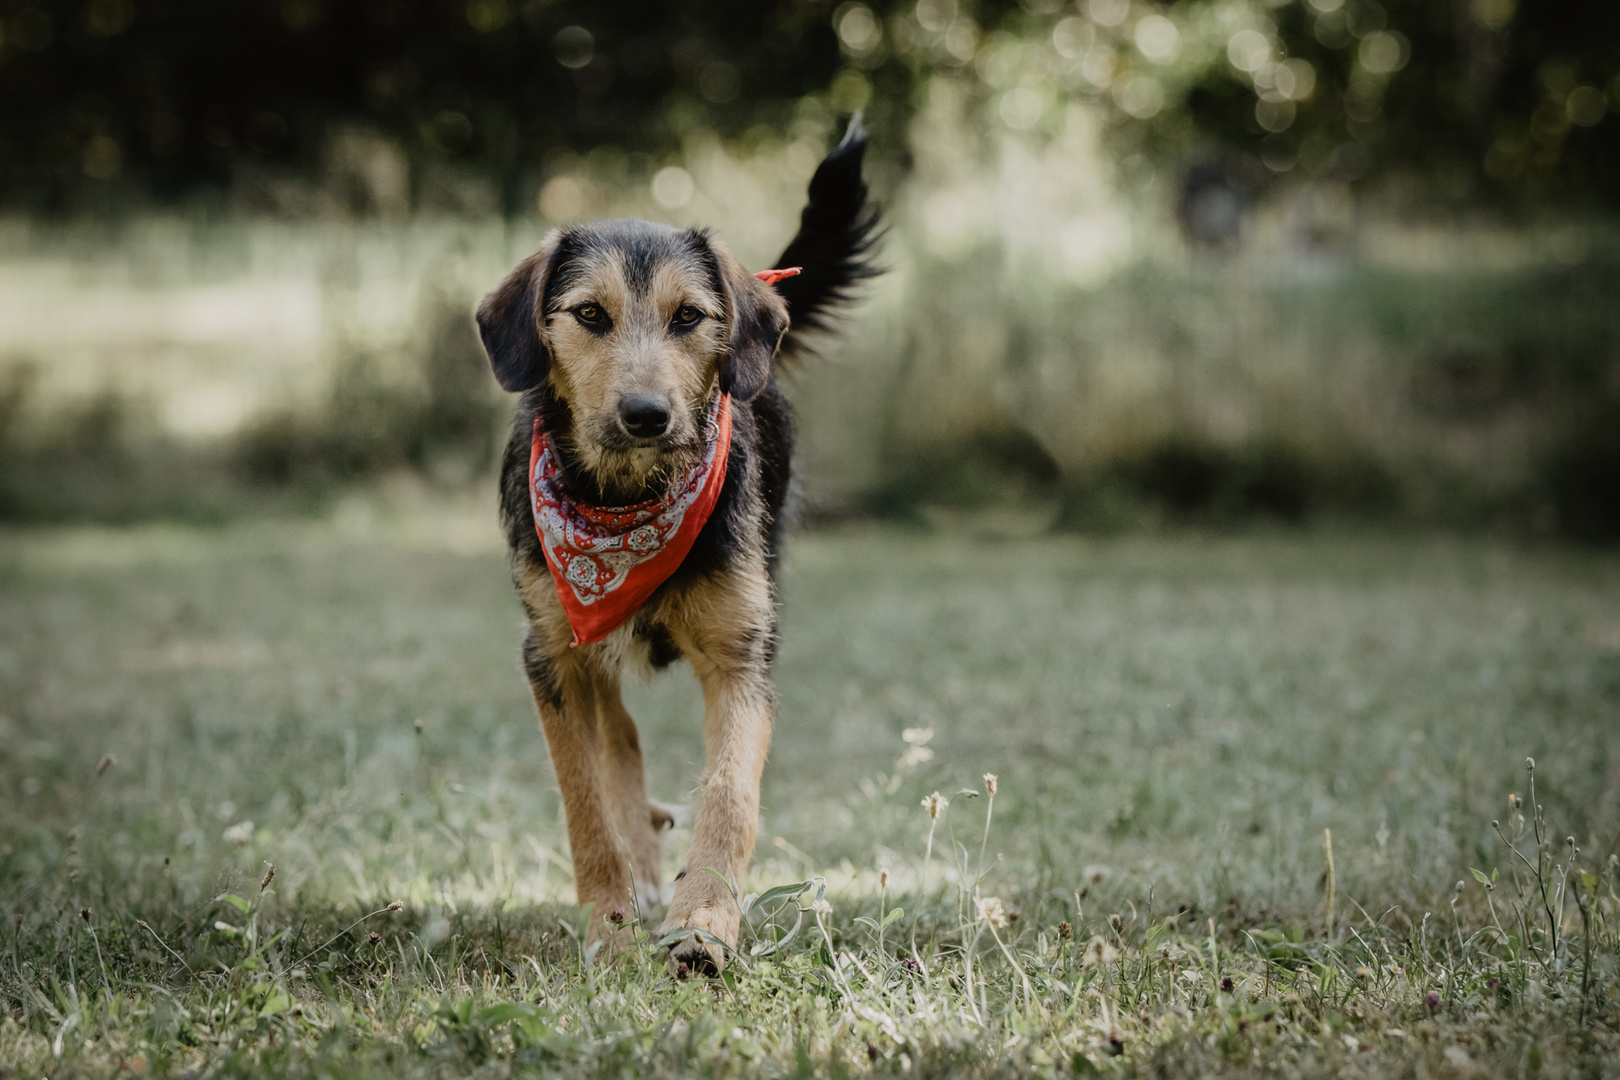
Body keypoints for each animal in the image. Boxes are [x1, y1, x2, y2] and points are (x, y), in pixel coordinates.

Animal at [473, 118, 881, 977]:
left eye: (690, 317)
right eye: (590, 315)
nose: (646, 414)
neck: (624, 500)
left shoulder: (741, 653)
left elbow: (729, 795)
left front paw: (703, 924)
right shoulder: (551, 654)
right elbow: (586, 800)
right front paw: (610, 923)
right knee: (618, 734)